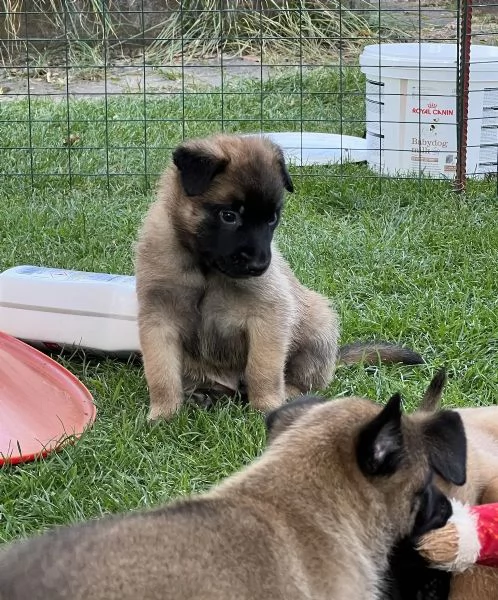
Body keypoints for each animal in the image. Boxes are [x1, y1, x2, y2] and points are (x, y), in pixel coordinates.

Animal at [134, 133, 422, 420]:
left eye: (272, 219)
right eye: (229, 216)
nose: (260, 266)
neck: (205, 271)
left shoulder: (268, 318)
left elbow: (263, 370)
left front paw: (266, 408)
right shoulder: (158, 321)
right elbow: (161, 373)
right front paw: (163, 414)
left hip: (319, 322)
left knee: (304, 382)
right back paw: (205, 395)